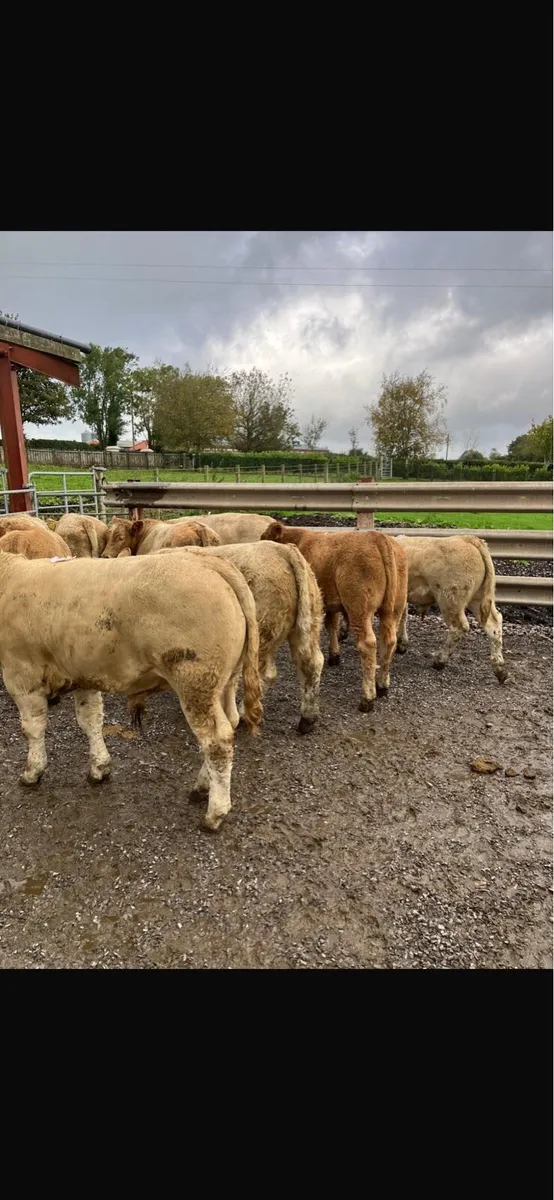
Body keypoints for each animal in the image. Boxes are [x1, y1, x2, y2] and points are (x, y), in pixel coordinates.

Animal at [0, 551, 262, 831]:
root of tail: (208, 560)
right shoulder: (83, 674)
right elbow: (91, 720)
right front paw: (99, 767)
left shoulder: (21, 674)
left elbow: (33, 728)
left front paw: (32, 772)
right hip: (226, 681)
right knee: (230, 722)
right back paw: (203, 787)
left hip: (196, 682)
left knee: (217, 741)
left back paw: (215, 812)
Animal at [139, 540, 325, 733]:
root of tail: (282, 548)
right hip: (308, 624)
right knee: (312, 664)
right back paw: (308, 718)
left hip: (260, 635)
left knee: (262, 674)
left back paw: (243, 713)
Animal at [261, 522, 407, 712]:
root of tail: (378, 537)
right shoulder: (330, 601)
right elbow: (332, 624)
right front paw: (334, 654)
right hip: (394, 608)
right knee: (388, 641)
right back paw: (382, 685)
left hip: (359, 608)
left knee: (368, 644)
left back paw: (367, 698)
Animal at [395, 534, 507, 682]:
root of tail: (467, 538)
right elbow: (403, 617)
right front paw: (401, 644)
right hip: (479, 597)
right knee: (493, 625)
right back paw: (500, 669)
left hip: (450, 599)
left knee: (458, 628)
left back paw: (440, 661)